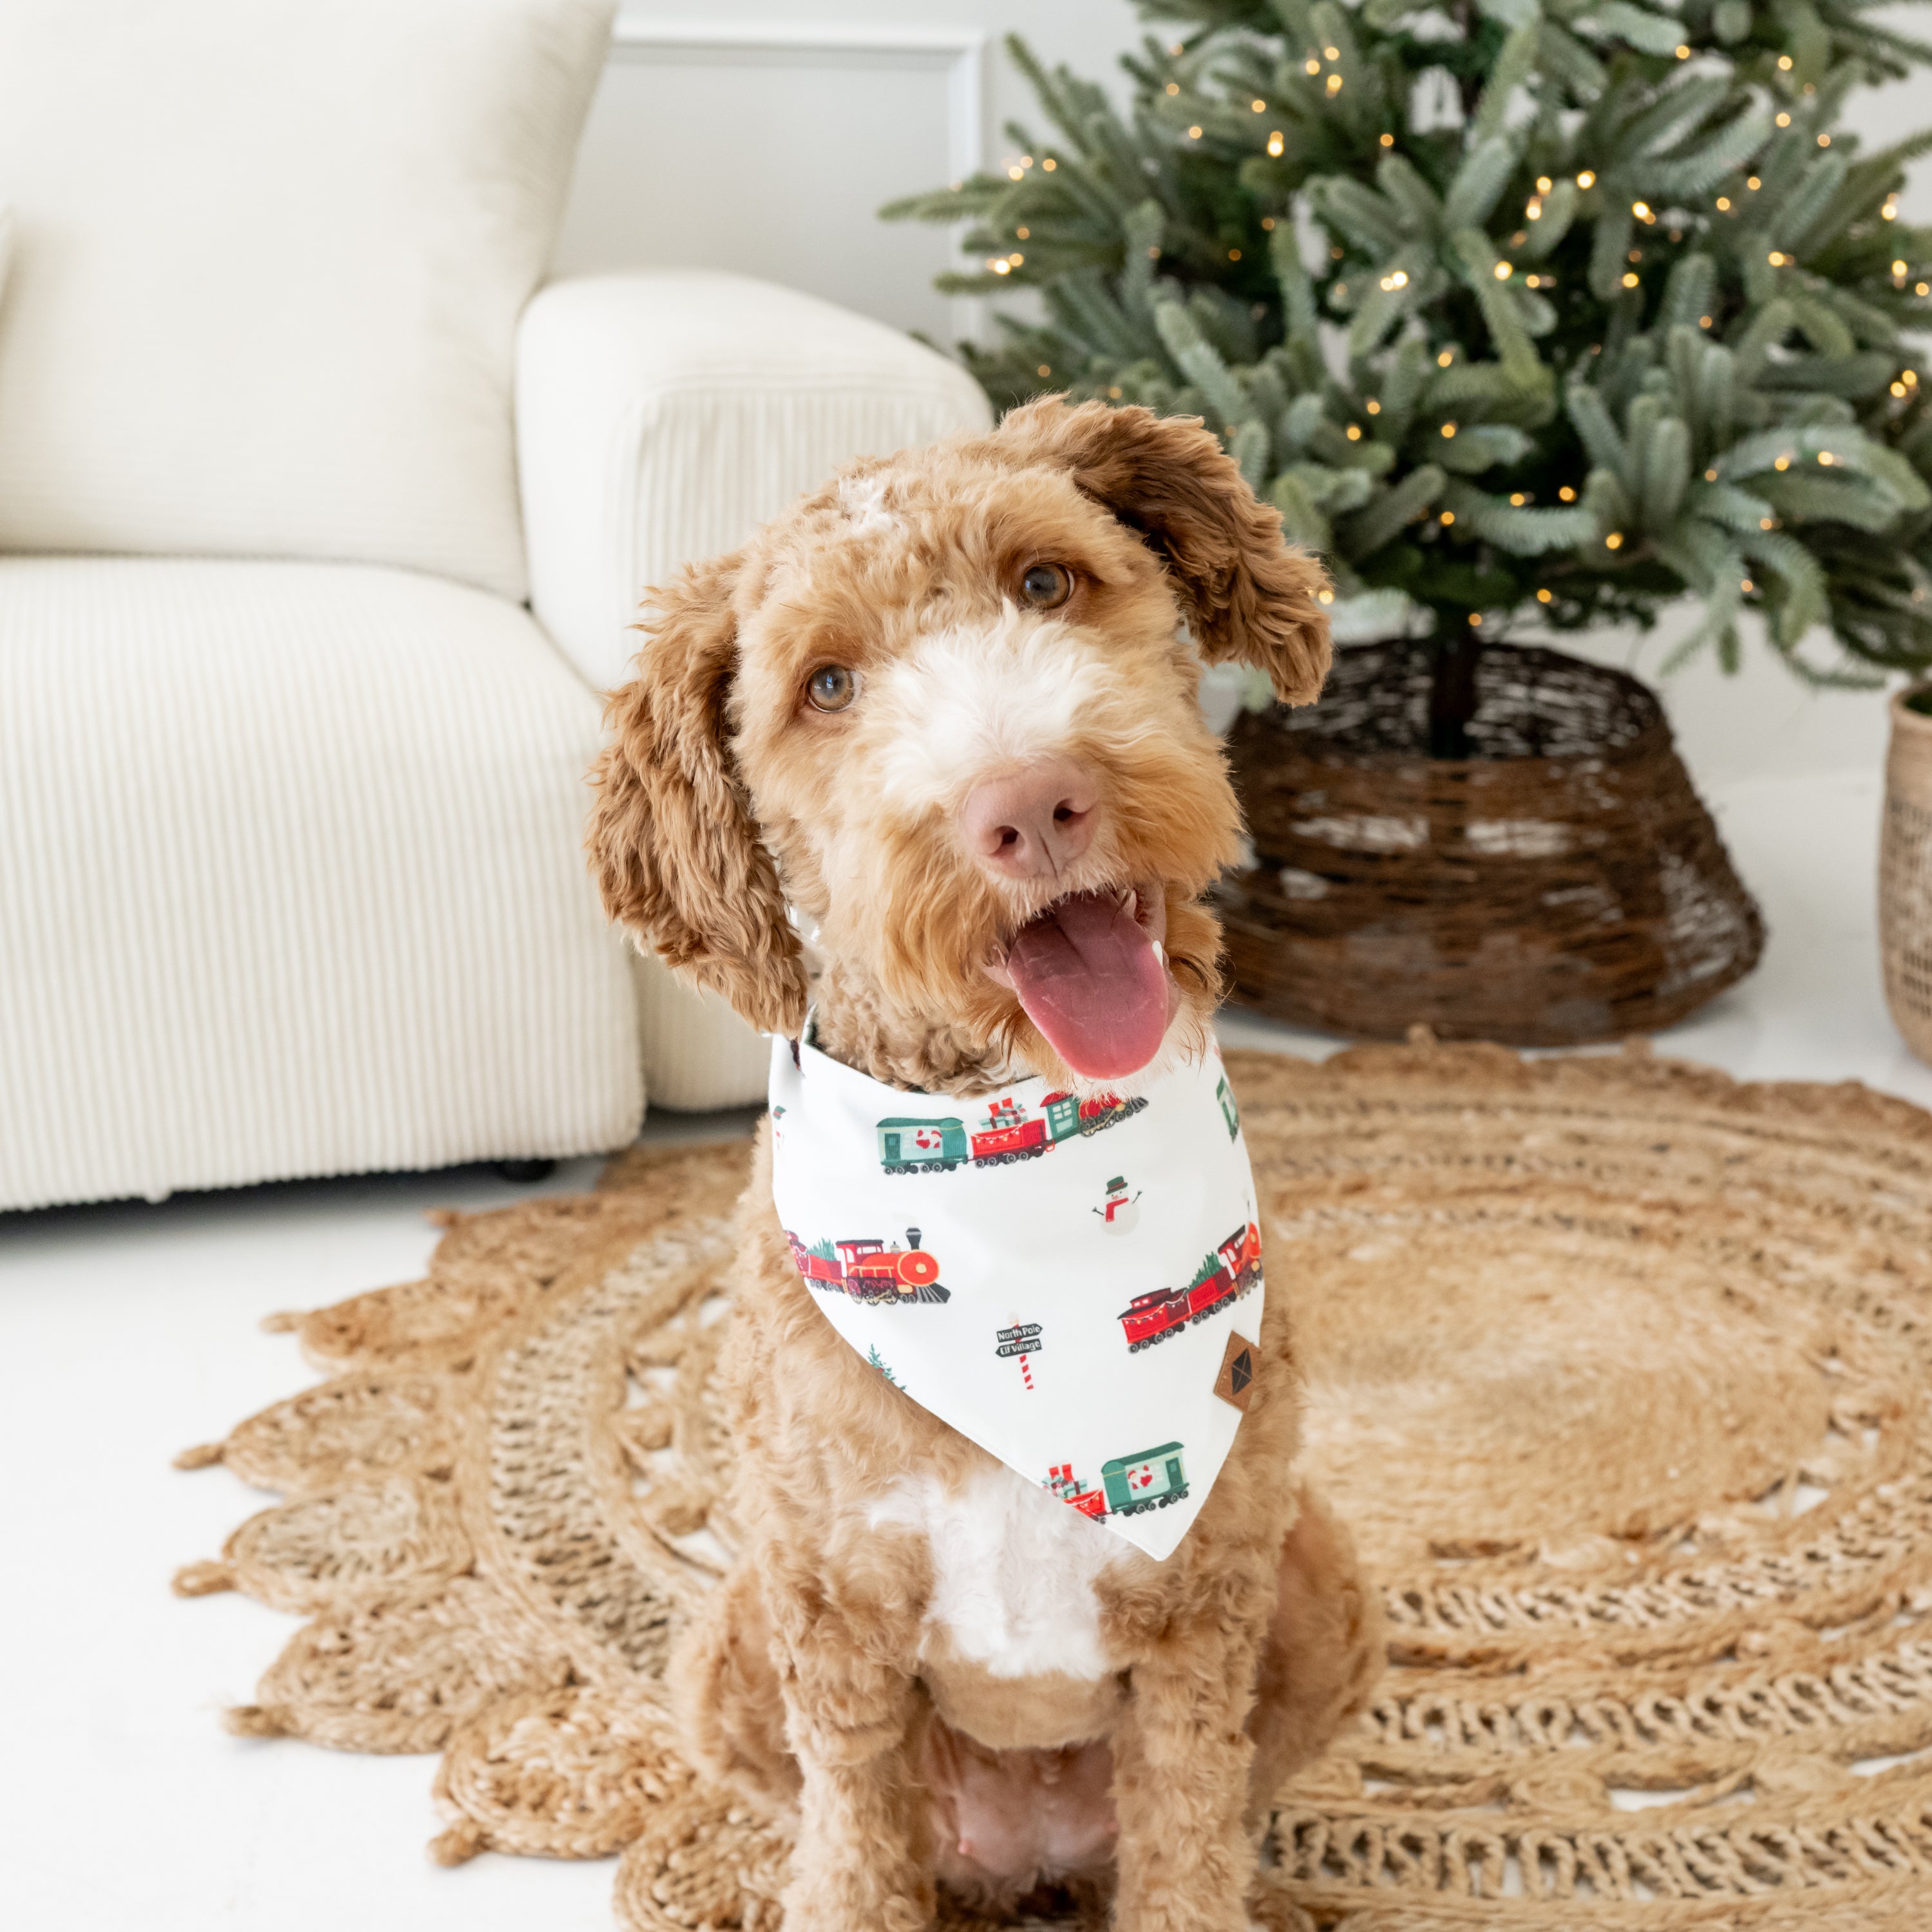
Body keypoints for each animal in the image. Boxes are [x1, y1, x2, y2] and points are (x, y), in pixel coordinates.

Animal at [580, 396, 1383, 1932]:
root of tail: (1030, 1857)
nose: (1033, 802)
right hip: (728, 1643)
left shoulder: (1204, 1614)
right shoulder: (829, 1616)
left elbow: (1192, 1856)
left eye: (1046, 580)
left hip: (1321, 1582)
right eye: (827, 685)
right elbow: (851, 1862)